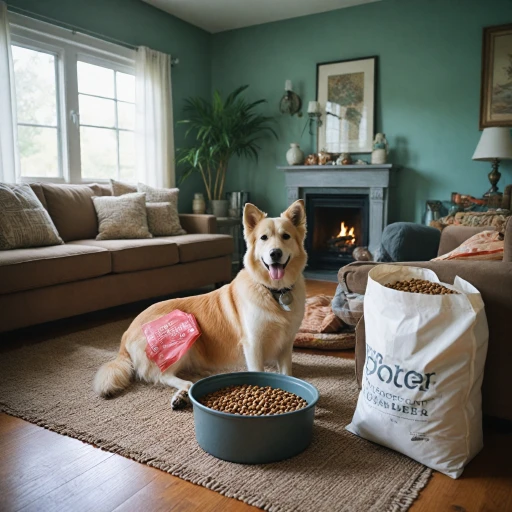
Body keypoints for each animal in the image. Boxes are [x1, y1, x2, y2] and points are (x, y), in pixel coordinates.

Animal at [93, 199, 308, 408]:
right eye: (264, 238)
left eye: (286, 236)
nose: (275, 253)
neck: (273, 291)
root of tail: (127, 332)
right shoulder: (253, 344)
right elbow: (258, 370)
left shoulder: (286, 343)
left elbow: (287, 373)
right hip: (186, 335)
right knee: (162, 375)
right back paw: (185, 390)